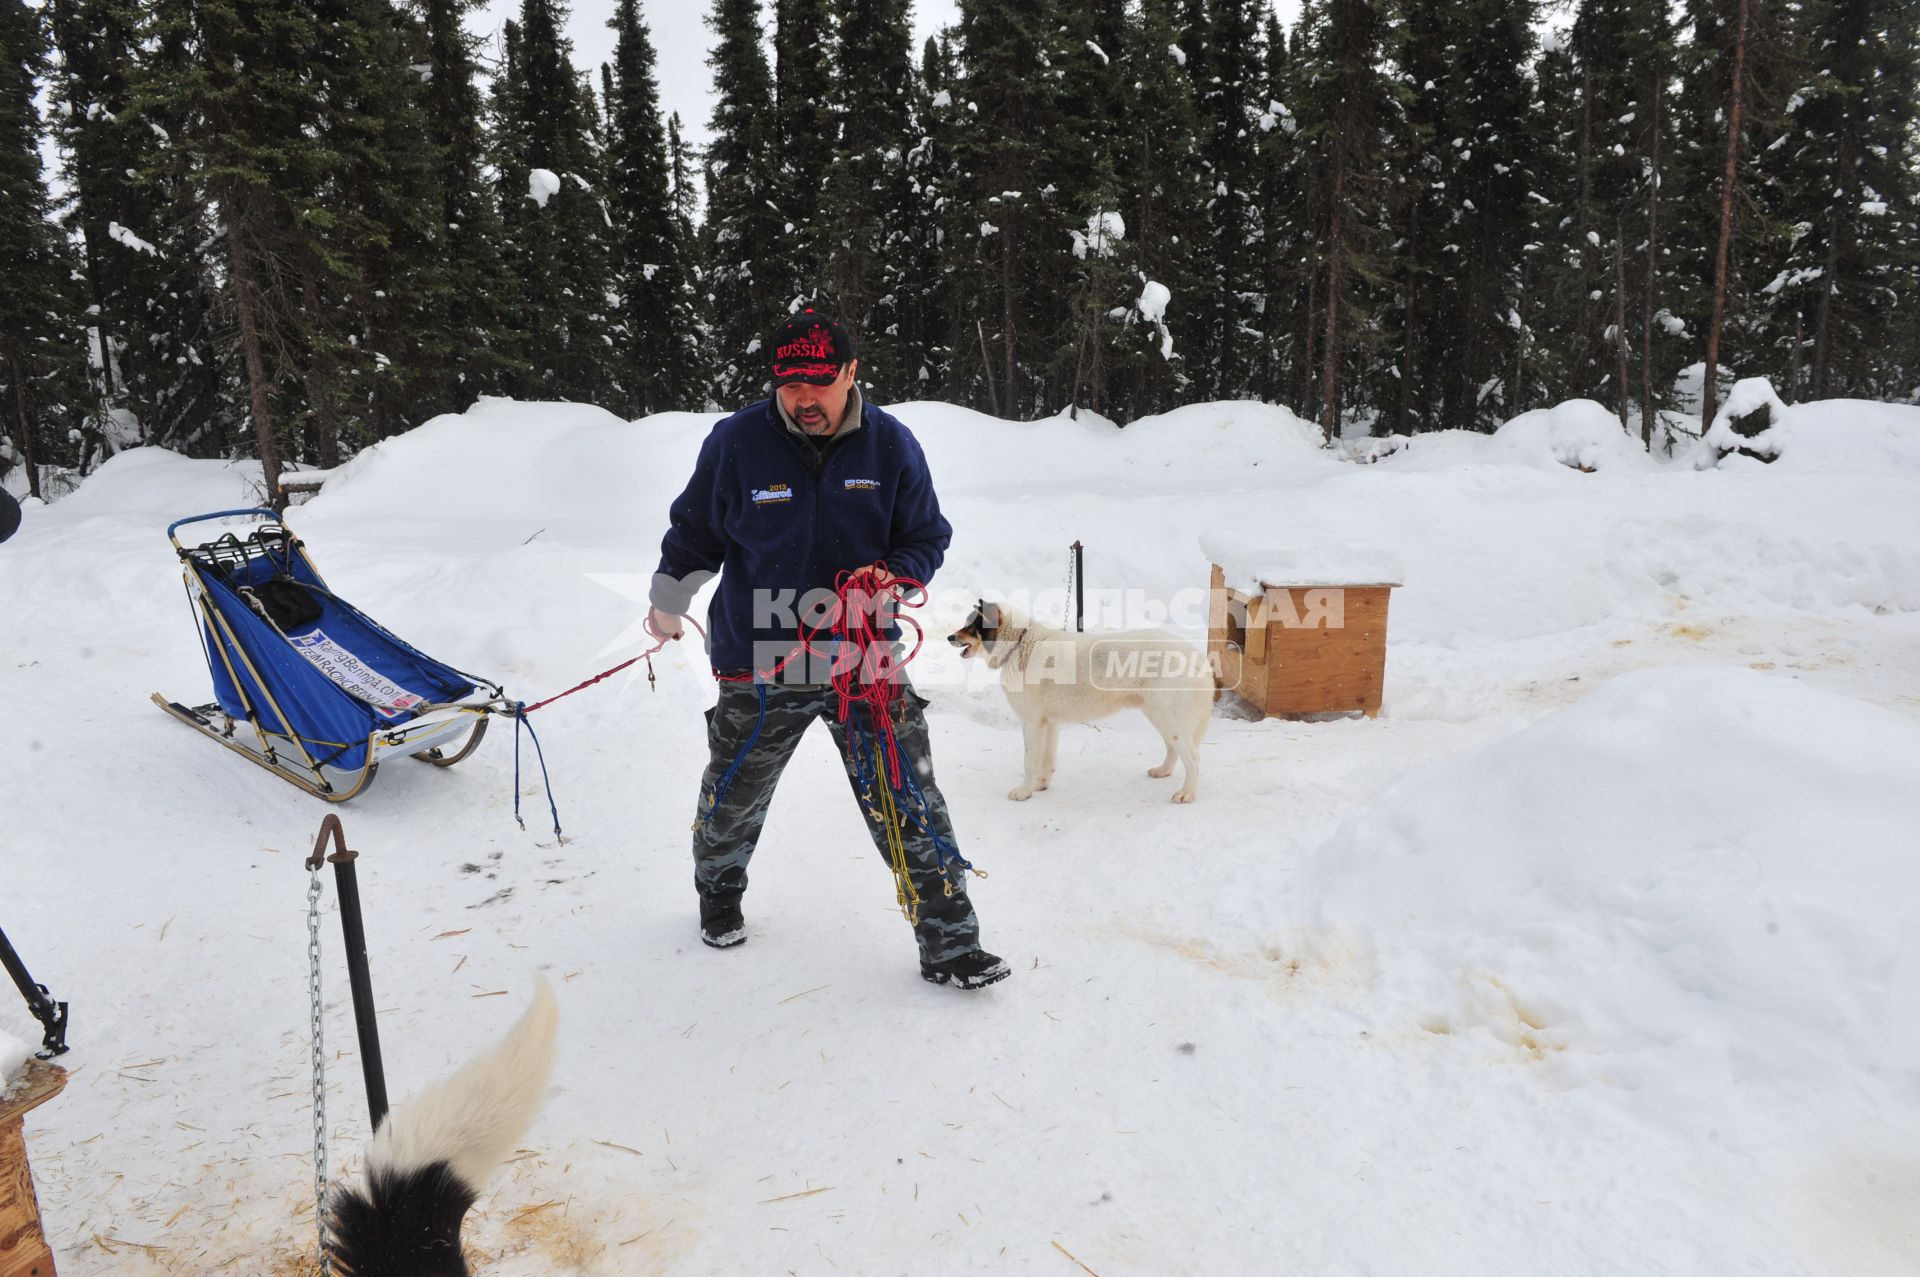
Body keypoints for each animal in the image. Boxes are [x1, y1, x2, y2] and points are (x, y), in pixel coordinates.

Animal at [948, 599, 1205, 798]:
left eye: (972, 626)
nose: (950, 637)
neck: (1018, 644)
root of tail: (1194, 655)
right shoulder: (1048, 724)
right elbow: (1047, 760)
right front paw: (1040, 786)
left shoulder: (1032, 724)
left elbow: (1029, 762)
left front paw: (1024, 792)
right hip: (1160, 717)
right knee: (1173, 750)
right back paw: (1163, 771)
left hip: (1169, 719)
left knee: (1193, 758)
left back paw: (1187, 793)